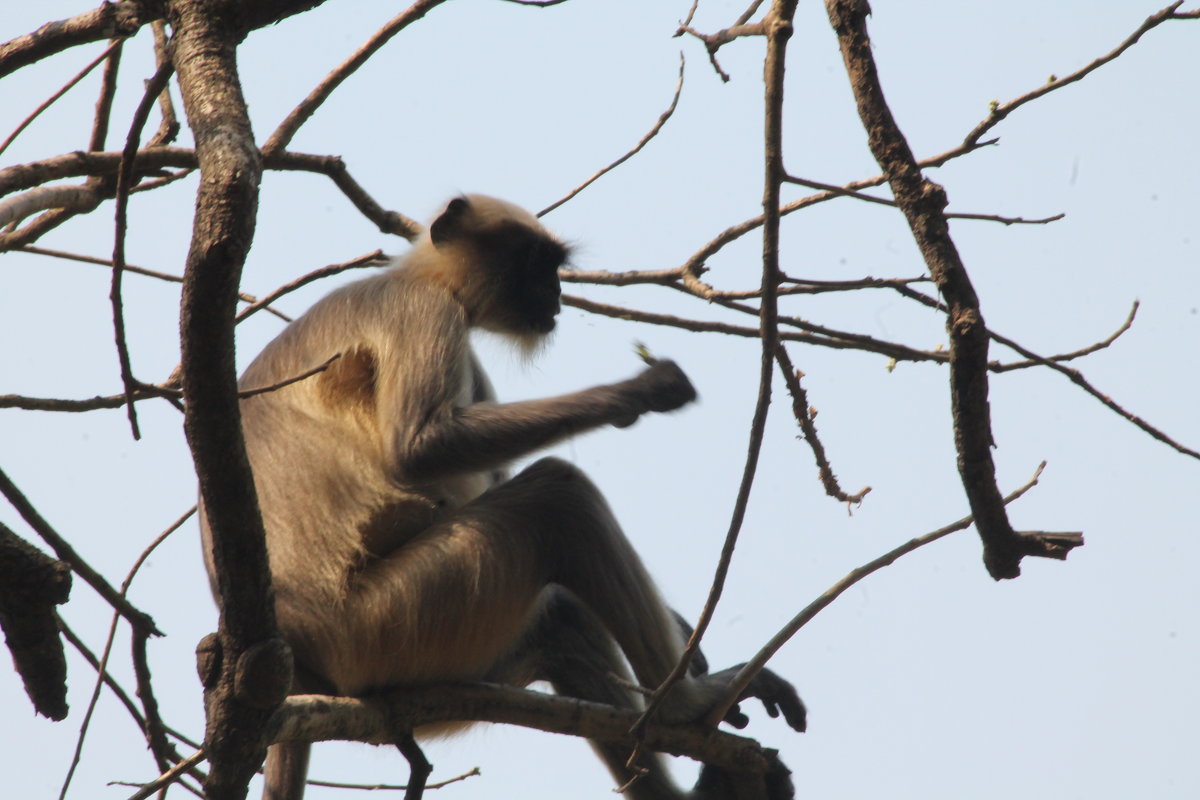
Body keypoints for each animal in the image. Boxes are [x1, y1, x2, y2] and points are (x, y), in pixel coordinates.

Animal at [201, 195, 811, 800]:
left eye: (553, 267)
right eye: (536, 263)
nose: (557, 293)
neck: (418, 275)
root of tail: (300, 658)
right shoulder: (419, 308)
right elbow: (421, 448)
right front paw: (634, 394)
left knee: (561, 613)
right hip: (386, 625)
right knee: (560, 498)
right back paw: (688, 705)